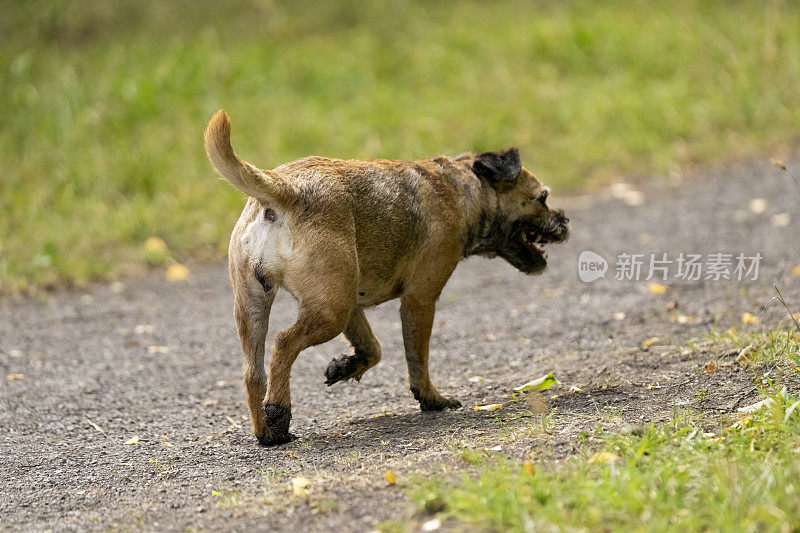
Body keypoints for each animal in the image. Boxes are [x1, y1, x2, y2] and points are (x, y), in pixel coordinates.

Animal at [206, 109, 568, 444]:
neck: (460, 187)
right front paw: (431, 399)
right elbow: (417, 358)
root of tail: (283, 189)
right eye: (543, 198)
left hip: (260, 308)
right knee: (283, 344)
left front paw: (346, 367)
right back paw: (279, 416)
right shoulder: (420, 300)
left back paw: (265, 431)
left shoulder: (353, 305)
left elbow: (373, 349)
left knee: (253, 373)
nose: (565, 220)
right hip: (328, 314)